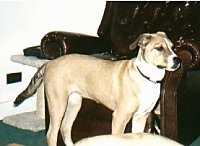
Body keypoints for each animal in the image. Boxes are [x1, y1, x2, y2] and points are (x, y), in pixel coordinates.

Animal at [13, 31, 180, 145]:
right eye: (159, 48)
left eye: (172, 47)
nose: (178, 60)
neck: (146, 77)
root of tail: (49, 63)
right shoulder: (120, 117)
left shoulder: (141, 116)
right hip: (57, 103)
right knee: (51, 133)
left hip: (74, 103)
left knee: (65, 128)